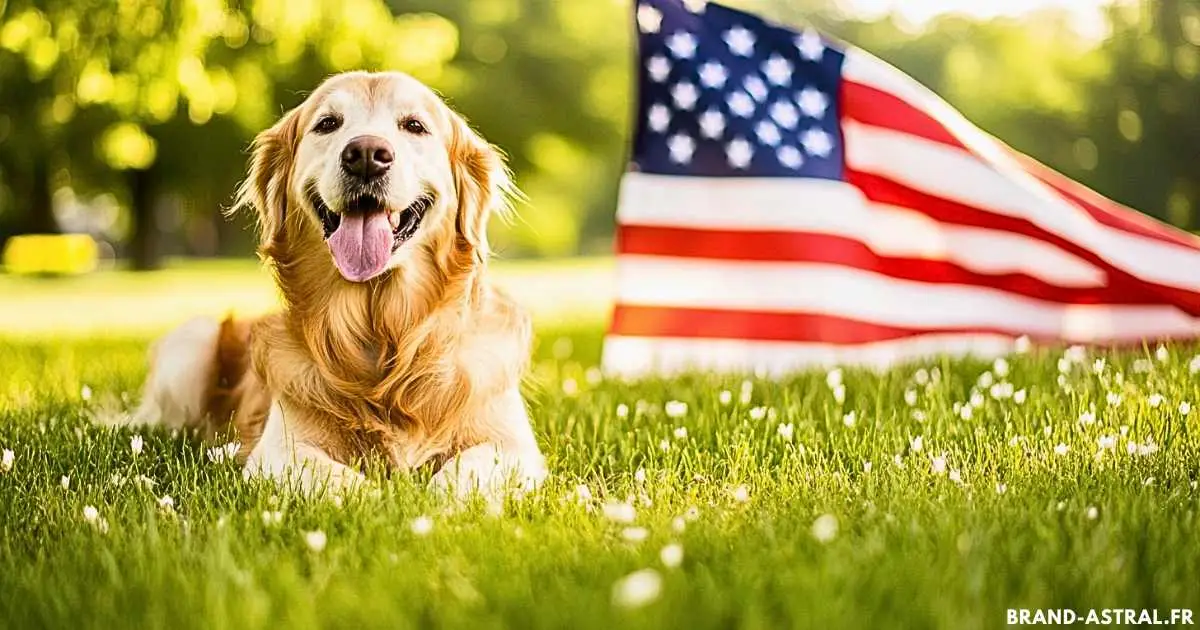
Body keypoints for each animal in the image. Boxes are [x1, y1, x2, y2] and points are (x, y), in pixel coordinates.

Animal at [133, 71, 547, 499]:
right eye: (328, 123)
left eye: (414, 125)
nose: (365, 154)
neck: (385, 331)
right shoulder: (278, 450)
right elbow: (342, 482)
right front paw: (381, 502)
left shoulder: (513, 445)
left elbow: (467, 468)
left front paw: (438, 502)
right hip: (191, 344)